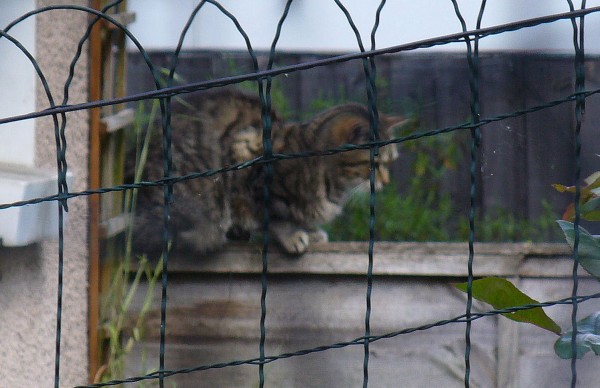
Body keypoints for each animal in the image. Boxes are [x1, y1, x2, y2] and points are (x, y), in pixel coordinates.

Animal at [129, 89, 406, 256]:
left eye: (391, 162)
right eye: (377, 164)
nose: (386, 181)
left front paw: (311, 231)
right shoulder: (247, 161)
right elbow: (275, 216)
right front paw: (293, 235)